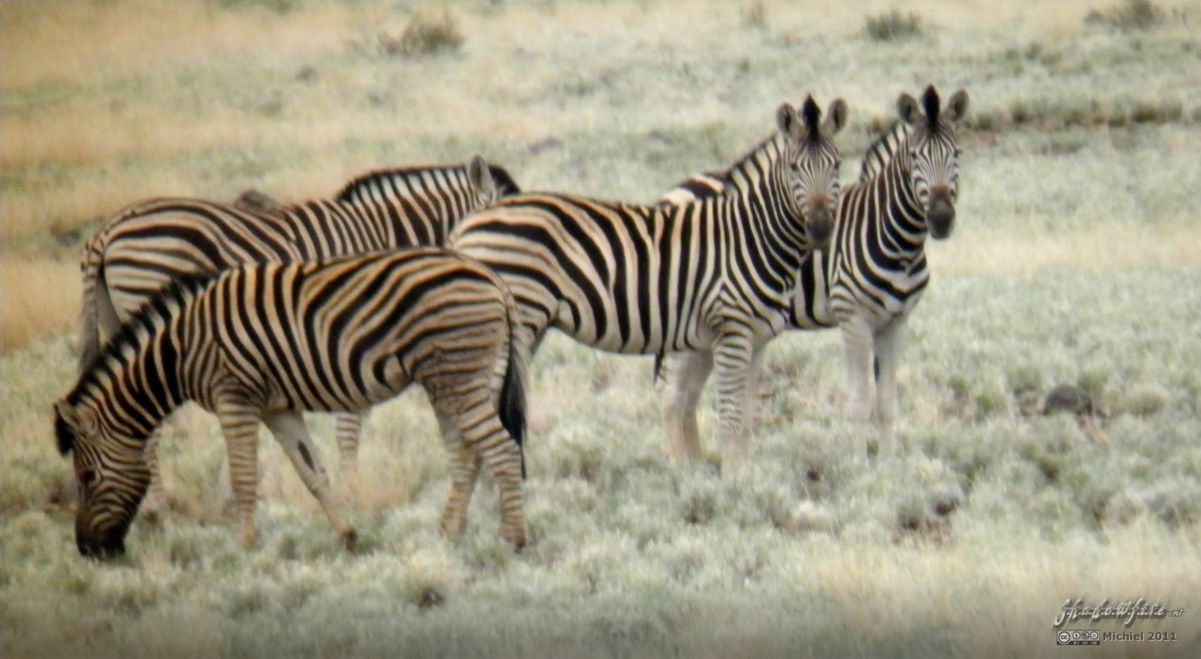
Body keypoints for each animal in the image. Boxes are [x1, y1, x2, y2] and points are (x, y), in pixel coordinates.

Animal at [52, 249, 526, 556]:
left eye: (87, 477)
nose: (88, 551)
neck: (179, 348)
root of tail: (492, 277)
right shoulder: (277, 407)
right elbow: (312, 472)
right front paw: (348, 535)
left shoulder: (234, 397)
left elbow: (244, 477)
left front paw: (246, 547)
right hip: (456, 380)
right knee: (468, 455)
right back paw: (449, 533)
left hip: (457, 377)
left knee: (502, 451)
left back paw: (512, 538)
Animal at [78, 153, 521, 504]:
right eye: (492, 228)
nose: (506, 284)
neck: (385, 233)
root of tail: (107, 231)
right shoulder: (353, 326)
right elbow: (351, 419)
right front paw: (351, 486)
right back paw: (159, 505)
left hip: (118, 319)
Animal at [449, 94, 845, 470]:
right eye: (793, 168)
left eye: (837, 164)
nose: (822, 230)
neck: (753, 235)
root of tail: (466, 225)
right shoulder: (733, 332)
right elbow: (732, 418)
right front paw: (732, 482)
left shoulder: (758, 339)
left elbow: (746, 419)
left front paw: (744, 479)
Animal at [653, 85, 970, 458]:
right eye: (916, 157)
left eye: (957, 154)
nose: (941, 219)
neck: (891, 234)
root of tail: (672, 193)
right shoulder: (853, 317)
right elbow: (860, 402)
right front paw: (860, 466)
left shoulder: (896, 321)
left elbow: (888, 404)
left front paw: (889, 468)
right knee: (673, 401)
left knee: (686, 400)